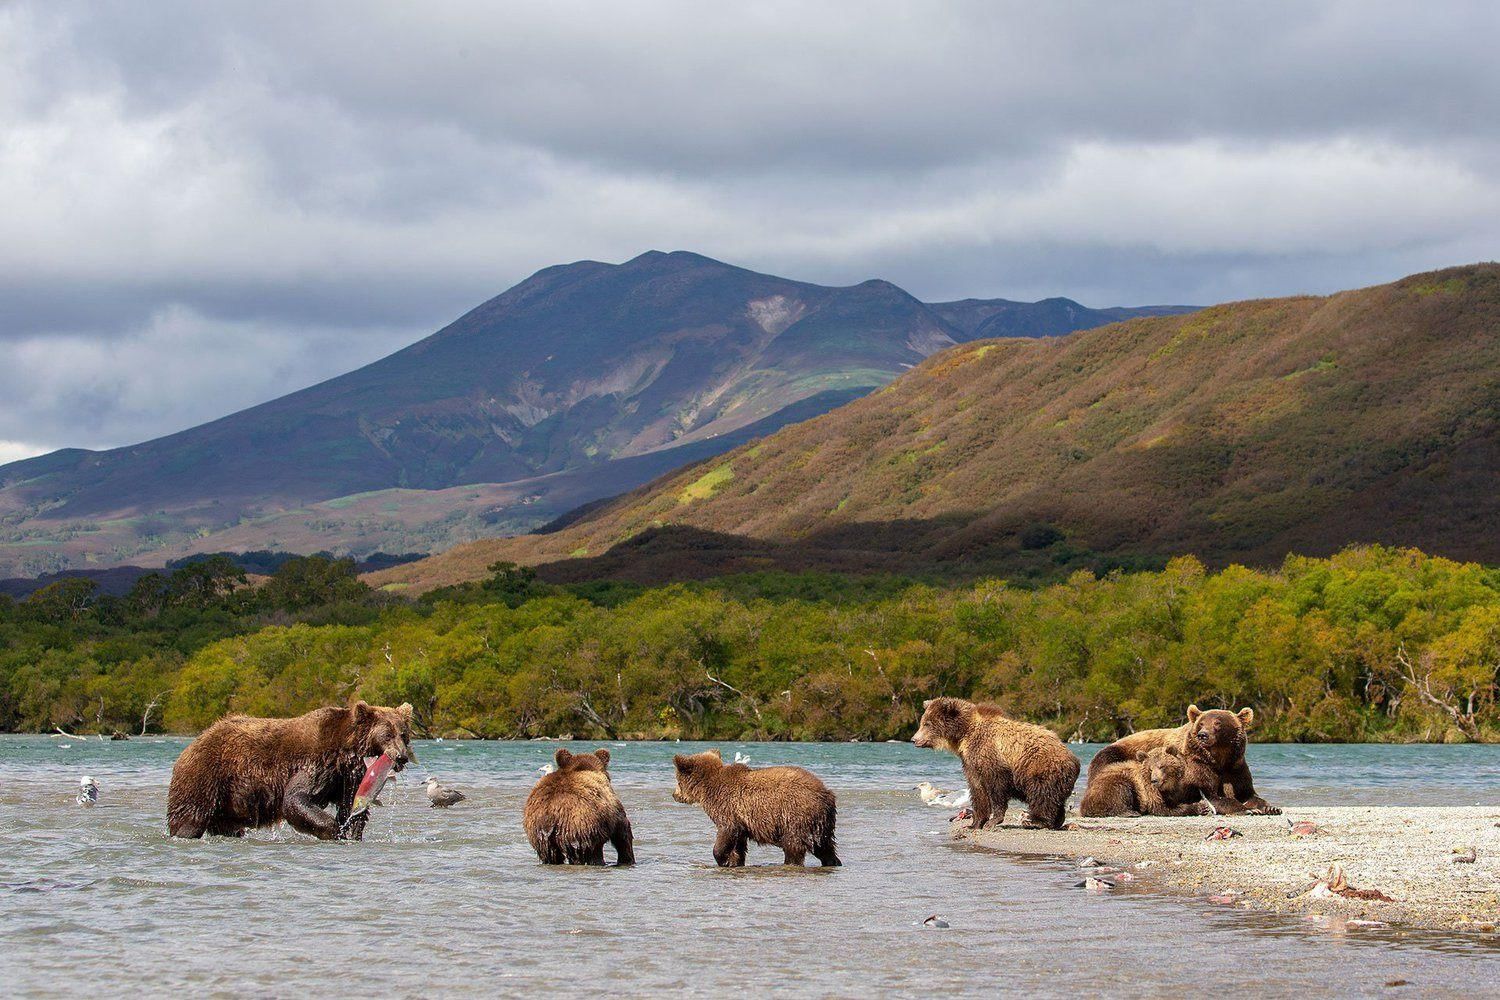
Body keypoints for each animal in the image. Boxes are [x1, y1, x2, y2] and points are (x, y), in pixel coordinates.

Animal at [164, 701, 417, 839]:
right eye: (387, 734)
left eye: (403, 734)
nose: (402, 757)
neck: (347, 749)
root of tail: (193, 743)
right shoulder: (318, 761)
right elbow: (296, 798)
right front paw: (335, 830)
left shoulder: (347, 775)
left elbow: (351, 807)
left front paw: (352, 832)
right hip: (205, 776)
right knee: (190, 817)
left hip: (228, 803)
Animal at [672, 749, 840, 869]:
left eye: (677, 780)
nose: (674, 795)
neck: (706, 788)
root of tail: (826, 794)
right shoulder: (741, 820)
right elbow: (738, 843)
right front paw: (735, 861)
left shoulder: (727, 807)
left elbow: (726, 832)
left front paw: (723, 860)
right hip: (821, 823)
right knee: (824, 846)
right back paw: (833, 862)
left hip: (796, 815)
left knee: (793, 845)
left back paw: (790, 862)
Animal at [912, 695, 1080, 827]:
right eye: (923, 722)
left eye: (927, 723)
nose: (914, 739)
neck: (964, 735)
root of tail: (1075, 759)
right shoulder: (971, 762)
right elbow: (977, 789)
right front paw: (975, 823)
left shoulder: (990, 755)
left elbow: (996, 786)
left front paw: (993, 820)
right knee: (1055, 799)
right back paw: (1056, 821)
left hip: (1040, 767)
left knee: (1042, 795)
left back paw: (1035, 820)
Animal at [1074, 746, 1212, 815]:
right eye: (1150, 769)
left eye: (1162, 766)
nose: (1155, 780)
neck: (1169, 784)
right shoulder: (1148, 789)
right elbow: (1162, 807)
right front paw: (1200, 807)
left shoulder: (1179, 787)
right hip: (1111, 784)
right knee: (1120, 789)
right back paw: (1130, 812)